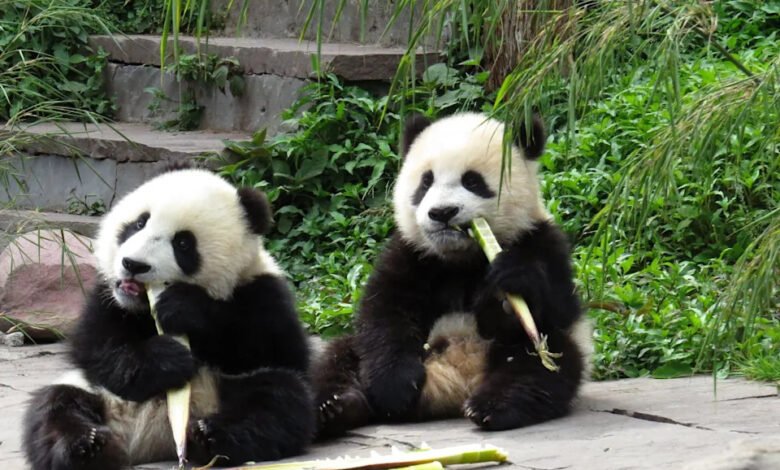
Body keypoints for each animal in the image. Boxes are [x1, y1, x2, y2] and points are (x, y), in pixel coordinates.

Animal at [22, 168, 314, 469]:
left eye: (183, 243)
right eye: (139, 223)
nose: (133, 264)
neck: (143, 306)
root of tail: (151, 442)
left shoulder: (262, 290)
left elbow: (276, 350)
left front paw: (183, 308)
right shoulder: (106, 296)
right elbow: (96, 345)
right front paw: (168, 358)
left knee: (278, 400)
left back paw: (209, 436)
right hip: (97, 392)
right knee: (55, 405)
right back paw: (86, 444)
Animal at [312, 112, 591, 437]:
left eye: (472, 181)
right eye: (426, 182)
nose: (442, 212)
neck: (462, 256)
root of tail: (454, 384)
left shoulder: (541, 240)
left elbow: (559, 308)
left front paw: (509, 286)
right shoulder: (412, 253)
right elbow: (385, 313)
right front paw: (394, 389)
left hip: (542, 352)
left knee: (541, 365)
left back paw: (491, 407)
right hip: (360, 353)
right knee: (338, 357)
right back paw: (337, 407)